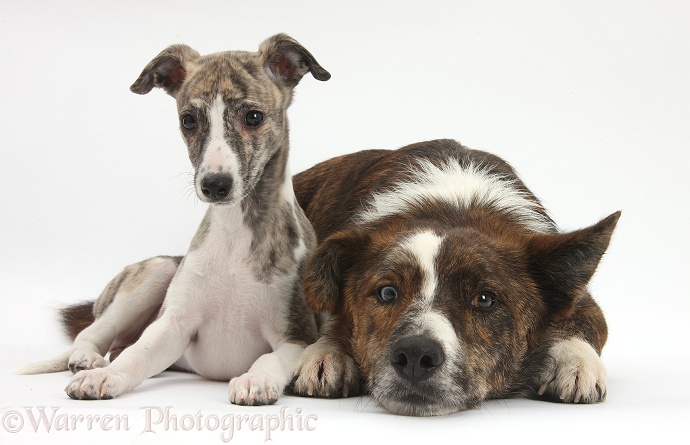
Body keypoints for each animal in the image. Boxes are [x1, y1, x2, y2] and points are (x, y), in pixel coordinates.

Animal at [21, 33, 330, 404]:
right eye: (188, 120)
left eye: (254, 117)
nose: (215, 185)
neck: (236, 236)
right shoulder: (174, 324)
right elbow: (137, 355)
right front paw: (104, 377)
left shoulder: (296, 334)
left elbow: (271, 358)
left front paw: (255, 380)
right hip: (156, 272)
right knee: (97, 335)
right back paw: (86, 360)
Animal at [288, 140, 620, 416]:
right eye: (387, 293)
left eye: (484, 299)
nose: (415, 355)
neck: (452, 205)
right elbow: (332, 322)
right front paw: (327, 353)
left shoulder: (583, 302)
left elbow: (582, 323)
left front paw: (577, 363)